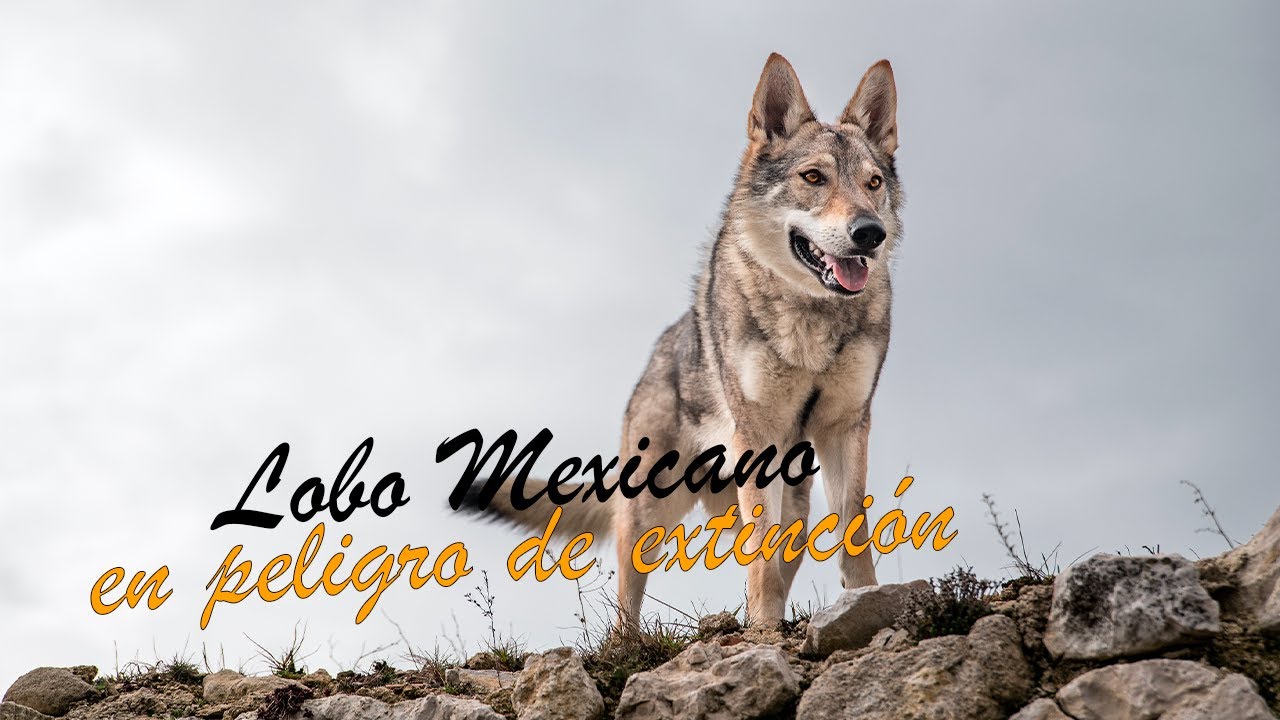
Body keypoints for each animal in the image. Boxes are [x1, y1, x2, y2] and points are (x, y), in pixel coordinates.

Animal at [463, 53, 903, 628]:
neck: (811, 319)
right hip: (648, 513)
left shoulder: (847, 426)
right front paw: (764, 631)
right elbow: (760, 556)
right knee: (629, 597)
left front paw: (868, 602)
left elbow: (854, 534)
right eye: (814, 177)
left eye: (872, 183)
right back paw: (632, 643)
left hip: (794, 501)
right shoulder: (759, 435)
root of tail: (658, 351)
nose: (870, 233)